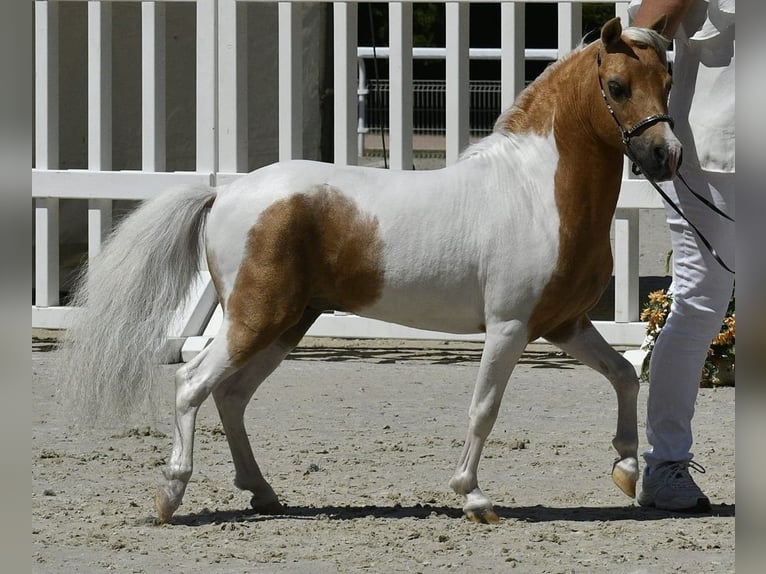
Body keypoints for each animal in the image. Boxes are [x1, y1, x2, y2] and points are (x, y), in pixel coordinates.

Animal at [60, 17, 679, 524]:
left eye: (669, 82)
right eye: (617, 86)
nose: (664, 155)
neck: (534, 191)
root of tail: (225, 193)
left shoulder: (564, 324)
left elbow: (624, 375)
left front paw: (627, 472)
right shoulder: (509, 327)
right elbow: (484, 408)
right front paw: (473, 497)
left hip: (287, 325)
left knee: (231, 396)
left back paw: (262, 492)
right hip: (253, 321)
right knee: (192, 384)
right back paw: (170, 495)